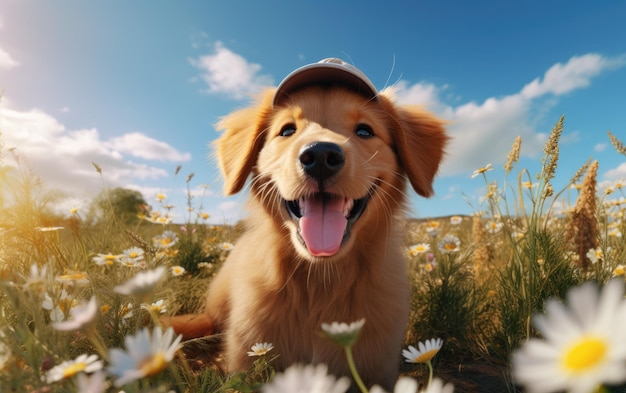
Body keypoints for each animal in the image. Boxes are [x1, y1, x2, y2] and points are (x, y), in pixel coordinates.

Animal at [168, 59, 446, 388]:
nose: (321, 155)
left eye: (365, 131)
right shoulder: (246, 361)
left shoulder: (378, 369)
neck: (320, 281)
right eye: (287, 130)